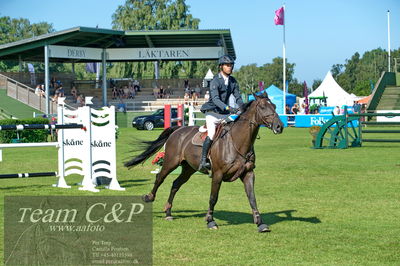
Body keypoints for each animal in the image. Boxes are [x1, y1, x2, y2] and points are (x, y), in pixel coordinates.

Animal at [126, 94, 284, 232]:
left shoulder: (248, 173)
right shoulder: (218, 174)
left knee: (176, 184)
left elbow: (252, 198)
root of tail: (178, 130)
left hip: (188, 169)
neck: (237, 142)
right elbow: (213, 198)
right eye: (263, 107)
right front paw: (210, 221)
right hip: (171, 162)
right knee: (160, 177)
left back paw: (168, 212)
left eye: (275, 106)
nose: (279, 127)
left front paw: (260, 223)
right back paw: (149, 197)